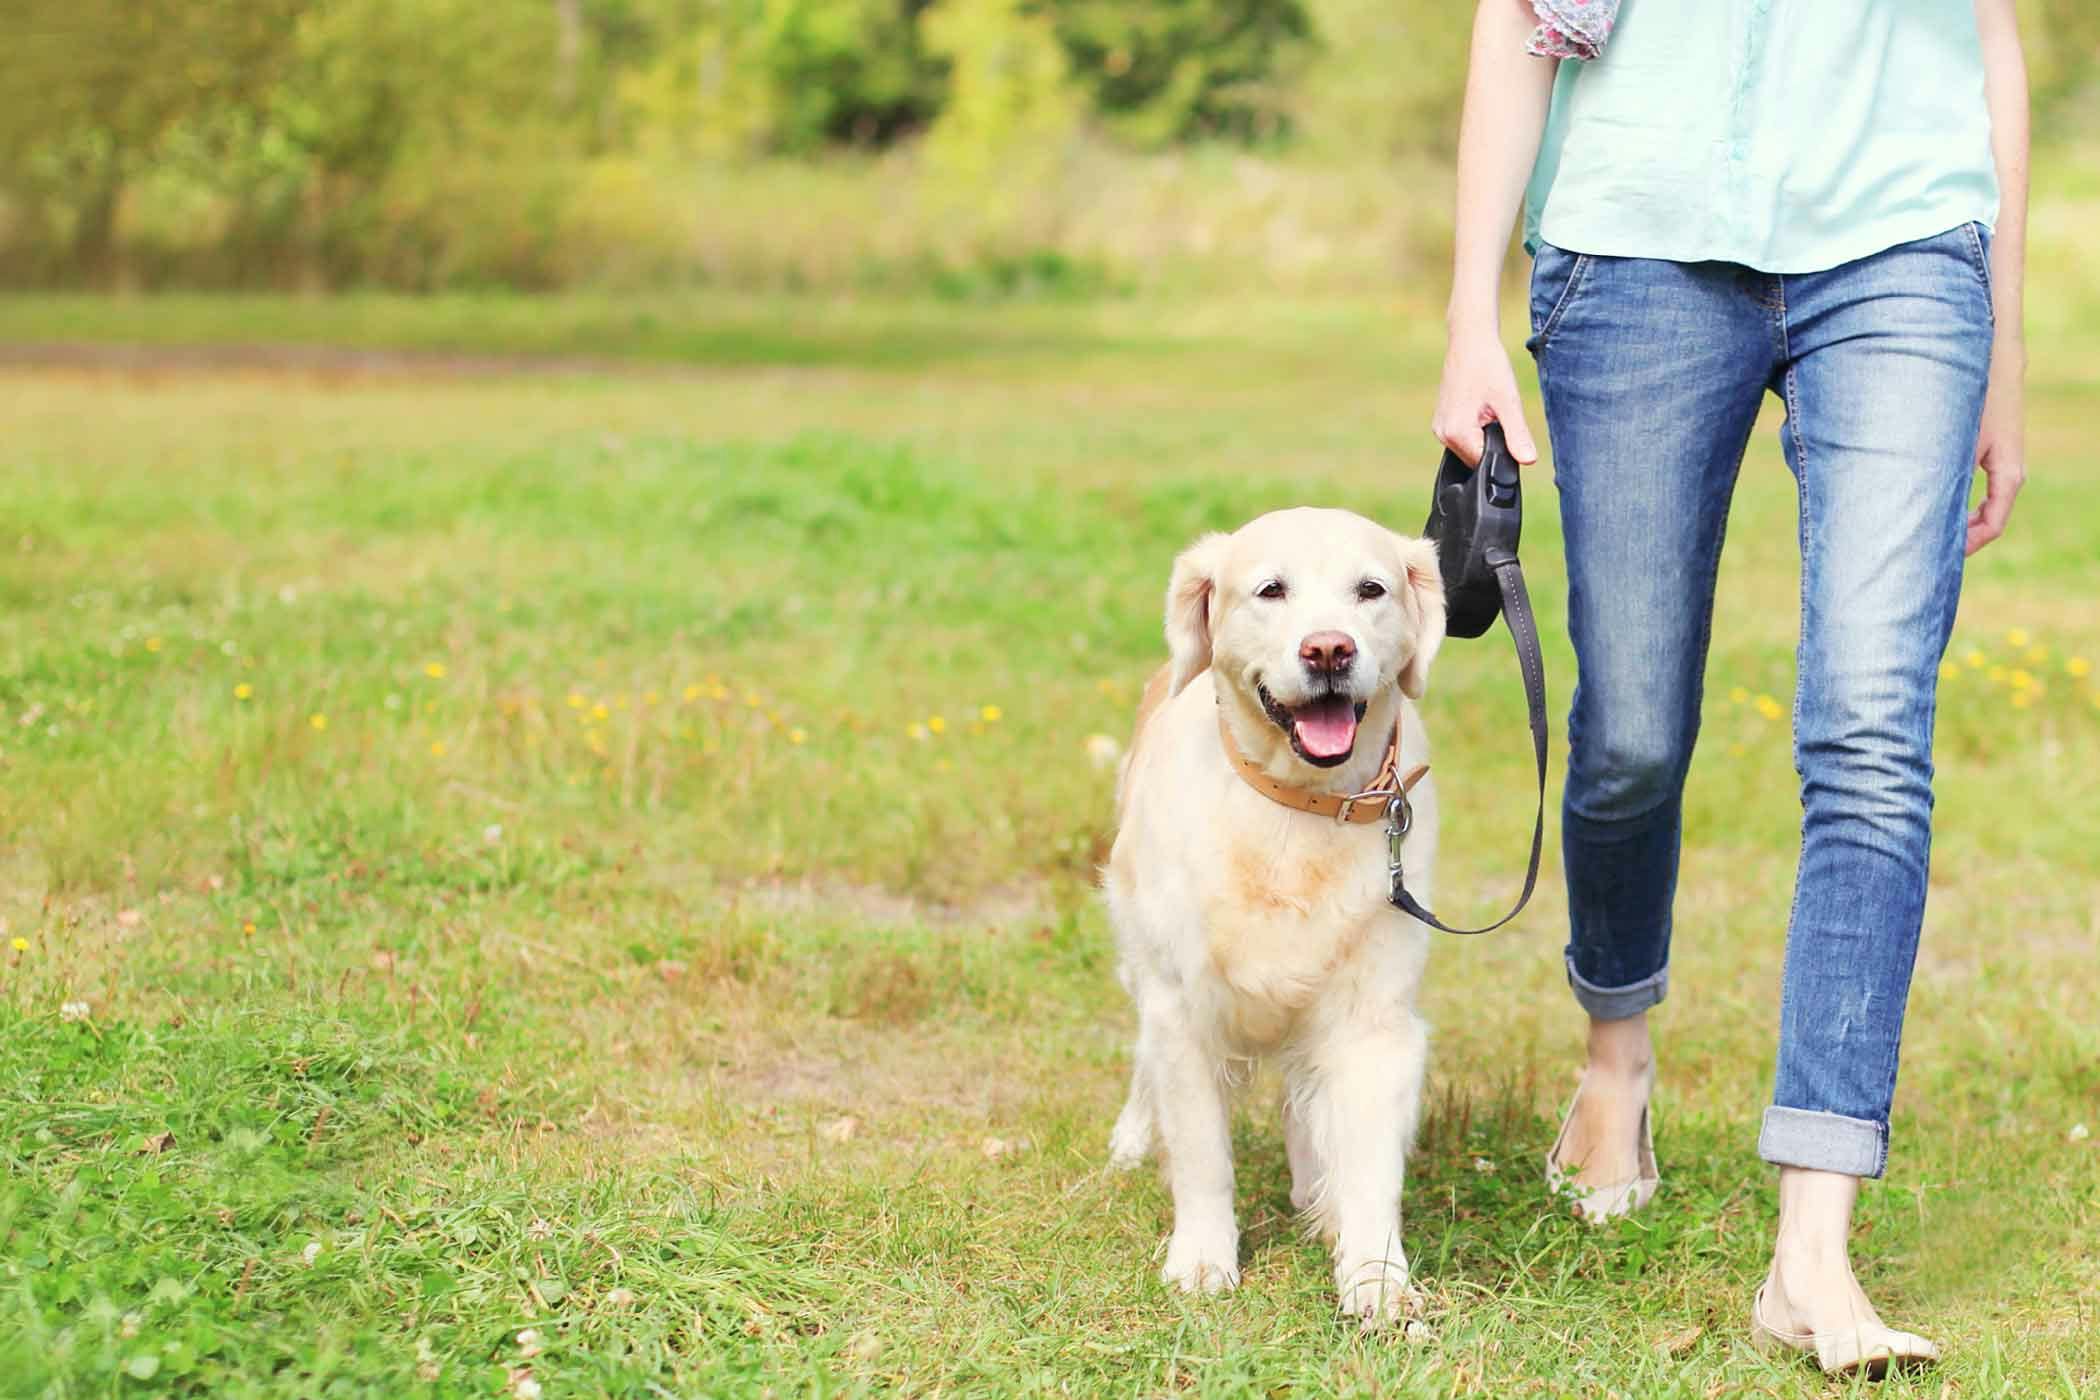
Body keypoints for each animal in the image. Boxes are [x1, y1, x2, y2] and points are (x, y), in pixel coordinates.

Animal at [1100, 510, 1444, 1334]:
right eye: (1270, 590)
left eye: (1371, 589)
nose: (1329, 649)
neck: (1299, 807)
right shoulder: (1180, 1008)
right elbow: (1201, 1155)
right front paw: (1201, 1261)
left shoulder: (1375, 1017)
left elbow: (1371, 1164)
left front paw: (1377, 1280)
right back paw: (1132, 1139)